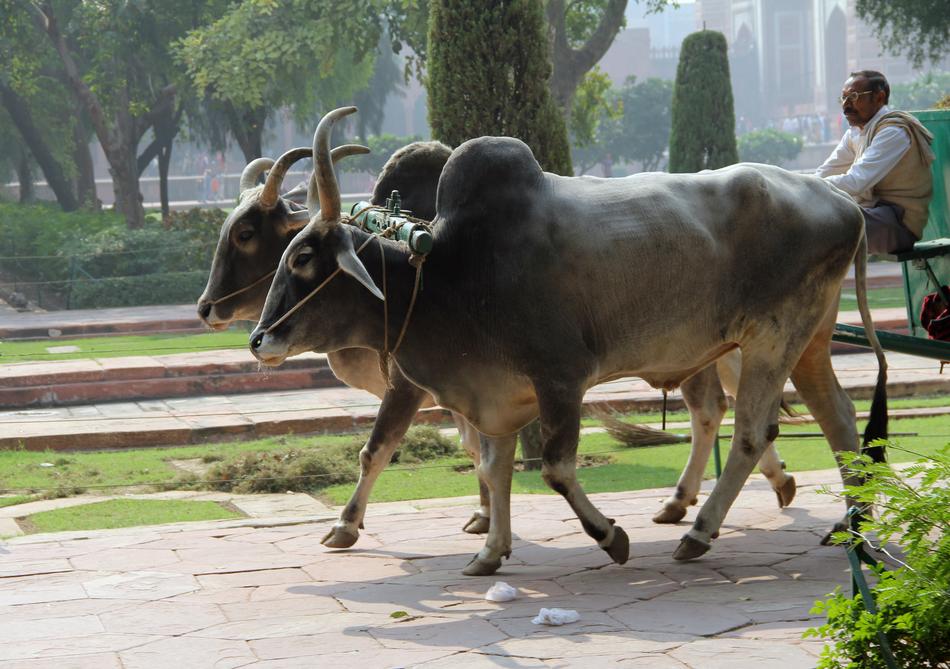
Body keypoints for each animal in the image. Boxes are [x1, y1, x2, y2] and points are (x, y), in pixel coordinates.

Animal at [250, 107, 887, 575]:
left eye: (303, 258)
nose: (258, 340)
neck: (445, 269)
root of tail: (842, 202)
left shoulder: (560, 378)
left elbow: (555, 467)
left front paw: (610, 537)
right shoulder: (496, 392)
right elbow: (493, 467)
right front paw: (490, 552)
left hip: (770, 340)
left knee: (754, 433)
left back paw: (702, 532)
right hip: (807, 341)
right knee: (839, 417)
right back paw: (851, 523)